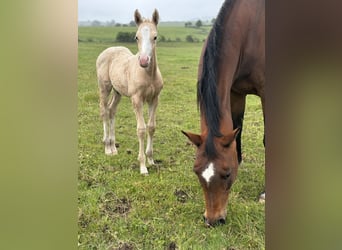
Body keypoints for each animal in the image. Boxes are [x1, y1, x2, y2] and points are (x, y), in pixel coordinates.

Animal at [95, 9, 164, 174]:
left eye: (155, 37)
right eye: (136, 37)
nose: (144, 61)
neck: (148, 75)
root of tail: (107, 50)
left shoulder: (154, 99)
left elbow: (151, 127)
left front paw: (151, 160)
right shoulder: (136, 99)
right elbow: (141, 129)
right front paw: (143, 166)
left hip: (117, 91)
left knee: (112, 110)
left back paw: (113, 146)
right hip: (104, 88)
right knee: (104, 111)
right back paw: (107, 147)